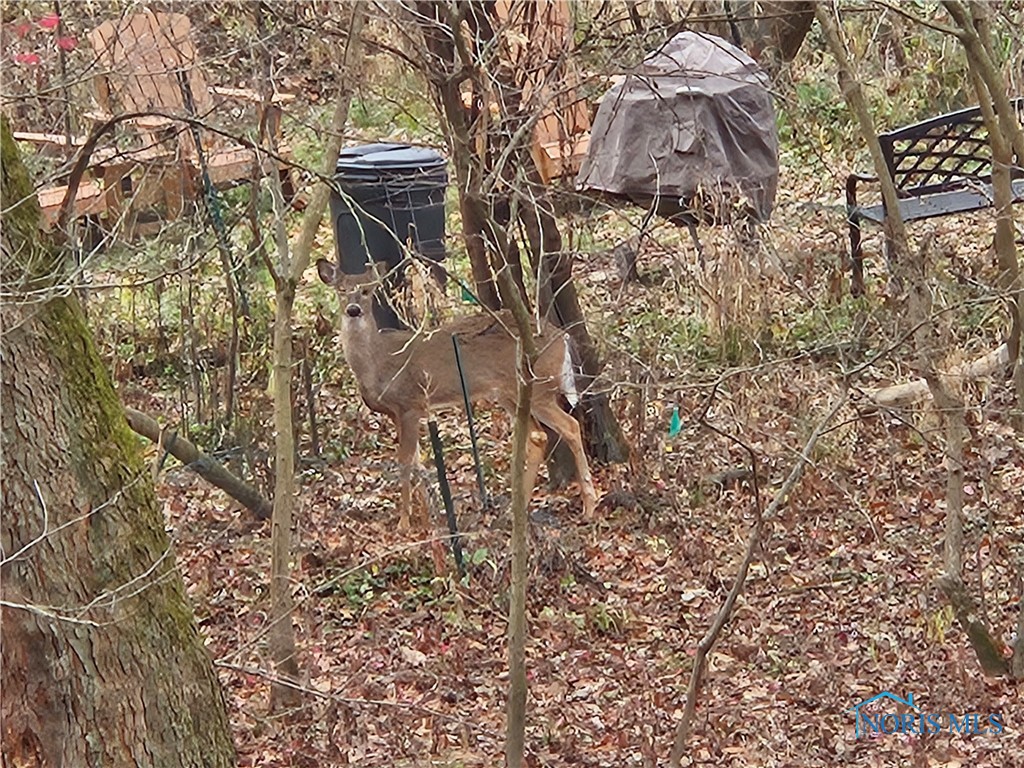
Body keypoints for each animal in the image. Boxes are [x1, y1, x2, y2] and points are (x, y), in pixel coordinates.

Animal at [315, 259, 598, 528]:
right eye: (341, 290)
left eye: (366, 291)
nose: (353, 310)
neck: (377, 362)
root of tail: (562, 337)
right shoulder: (398, 412)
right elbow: (416, 462)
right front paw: (428, 515)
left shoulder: (410, 403)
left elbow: (405, 463)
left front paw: (404, 523)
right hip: (510, 393)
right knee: (538, 436)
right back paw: (516, 509)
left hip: (538, 389)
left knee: (570, 426)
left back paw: (589, 507)